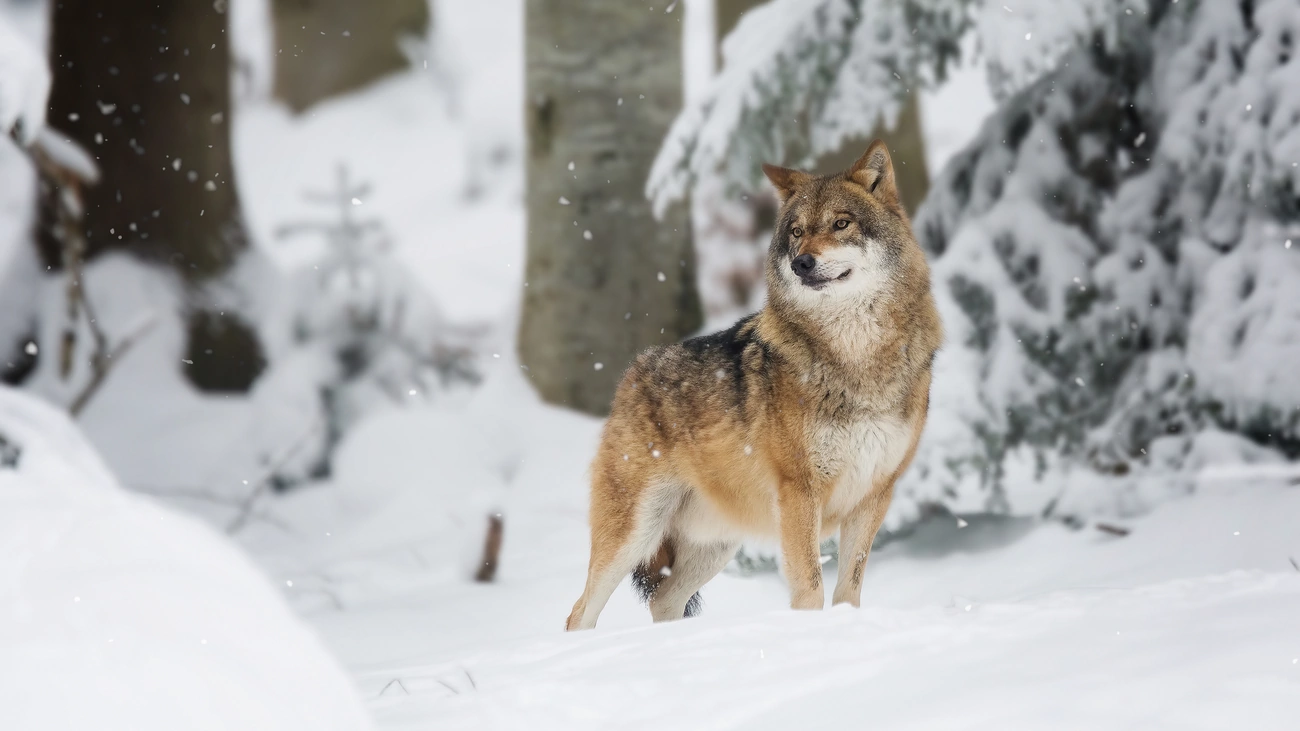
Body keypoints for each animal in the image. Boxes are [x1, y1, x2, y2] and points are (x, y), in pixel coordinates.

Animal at [564, 139, 941, 629]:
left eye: (841, 224)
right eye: (796, 232)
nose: (802, 263)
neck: (857, 358)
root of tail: (633, 371)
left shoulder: (875, 494)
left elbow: (849, 590)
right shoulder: (799, 492)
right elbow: (810, 588)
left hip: (717, 543)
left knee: (662, 600)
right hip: (635, 533)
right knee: (579, 612)